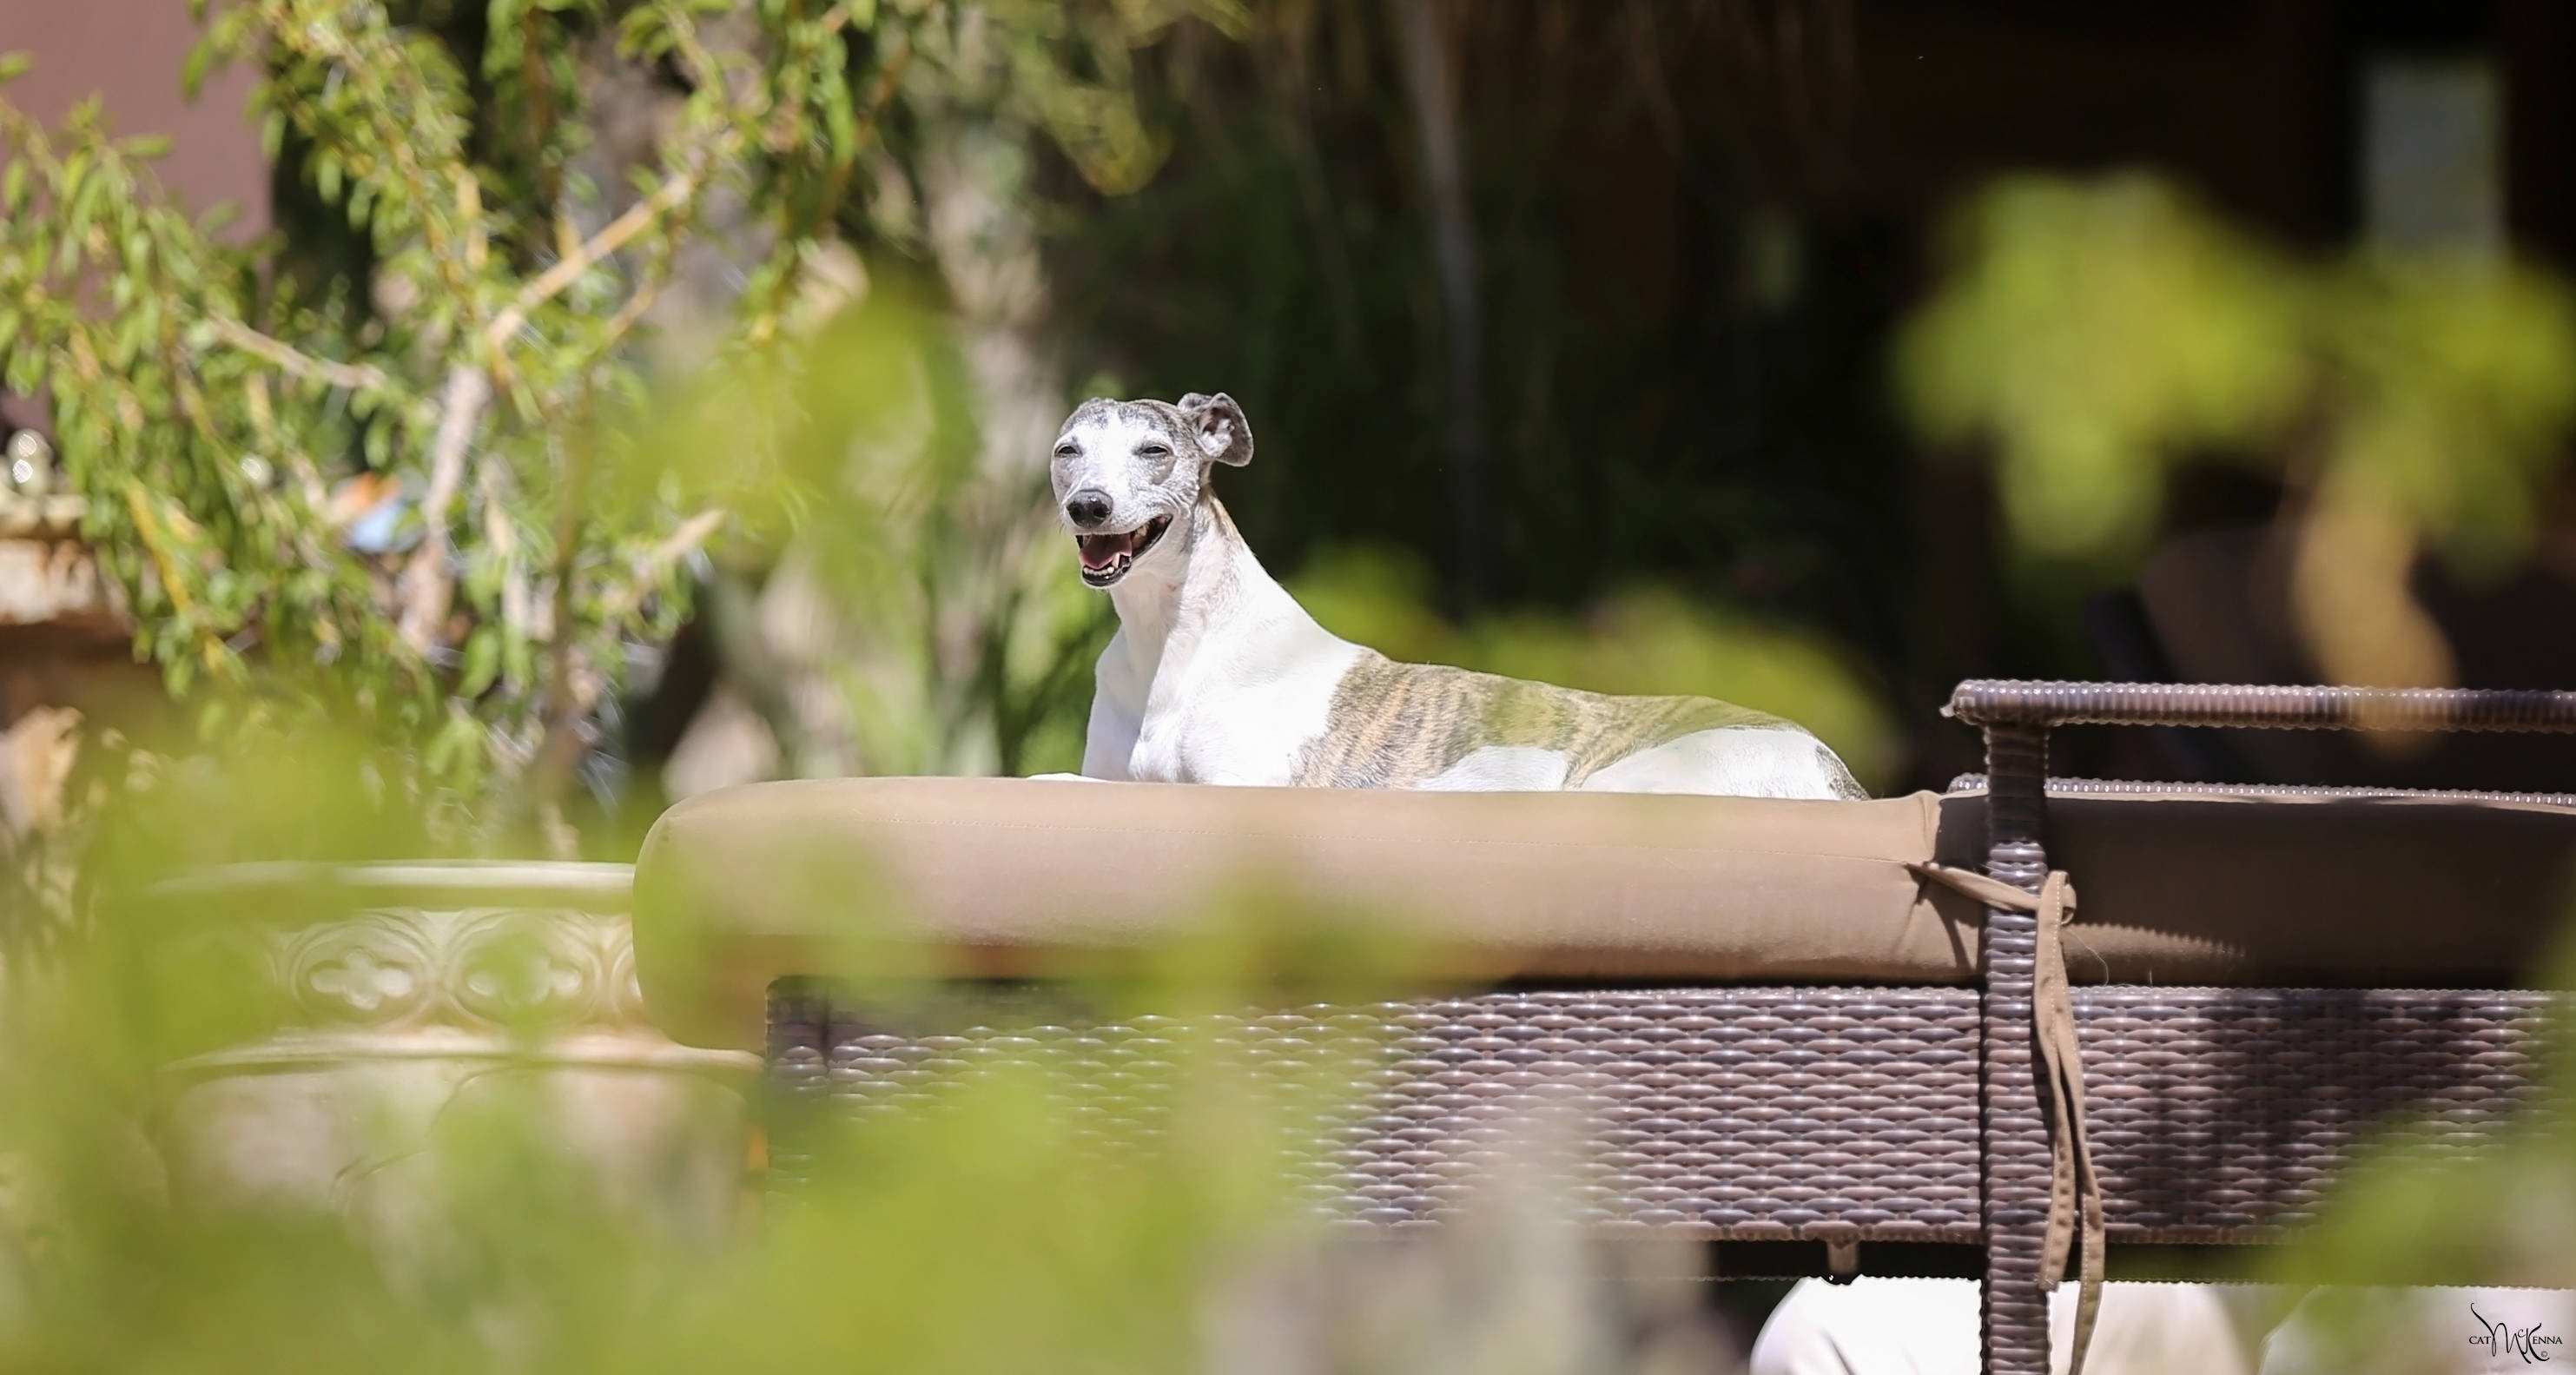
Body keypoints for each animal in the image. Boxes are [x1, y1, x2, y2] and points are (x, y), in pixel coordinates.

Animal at [1038, 393, 1864, 799]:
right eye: (1067, 450)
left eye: (1154, 449)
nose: (1088, 507)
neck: (1174, 642)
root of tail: (1839, 774)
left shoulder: (1240, 791)